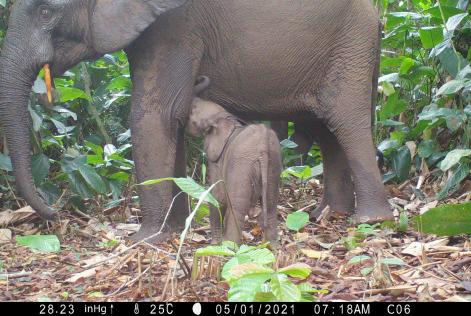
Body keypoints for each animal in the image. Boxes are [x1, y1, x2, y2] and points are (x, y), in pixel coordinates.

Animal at [188, 78, 284, 243]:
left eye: (193, 110)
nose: (200, 77)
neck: (225, 116)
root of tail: (263, 147)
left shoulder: (217, 160)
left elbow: (217, 195)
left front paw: (215, 243)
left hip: (242, 165)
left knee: (237, 206)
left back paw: (229, 245)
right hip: (273, 164)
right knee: (271, 205)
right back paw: (270, 246)